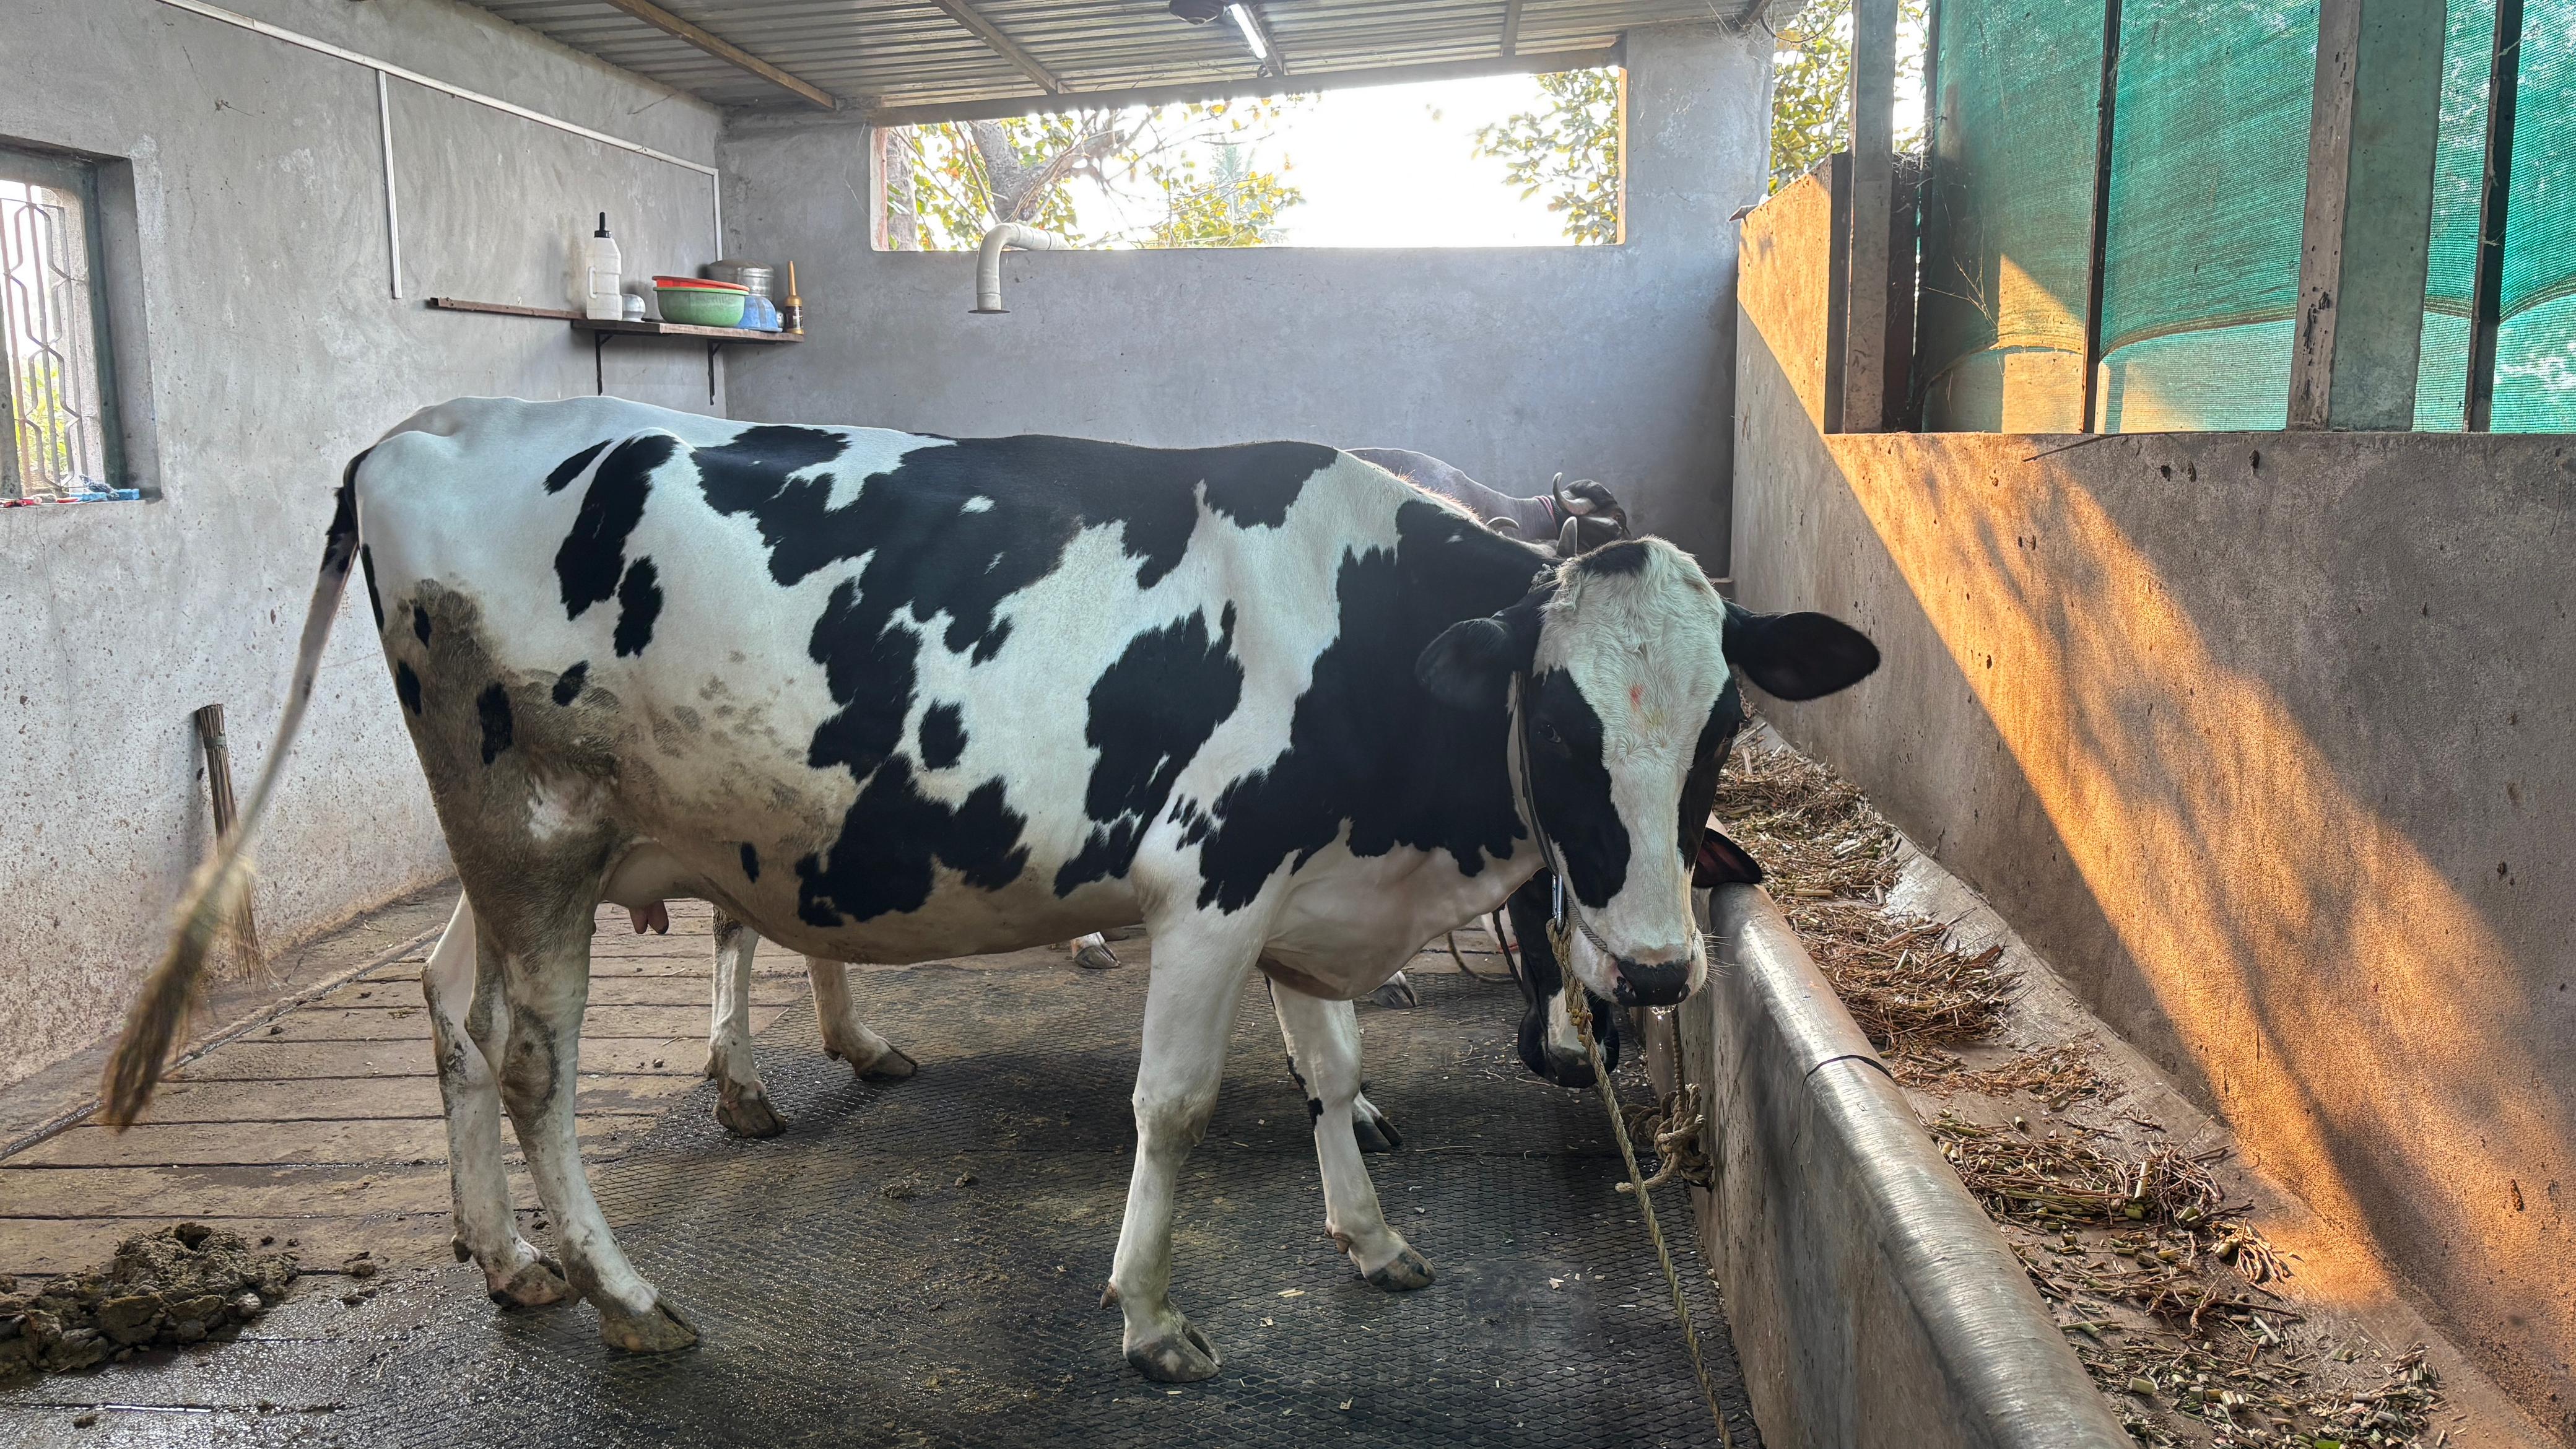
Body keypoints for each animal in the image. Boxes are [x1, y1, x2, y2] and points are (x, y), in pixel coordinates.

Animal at [103, 396, 1877, 1381]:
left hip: (511, 846)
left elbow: (1331, 1067)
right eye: (1564, 729)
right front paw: (1149, 1320)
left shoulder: (1295, 887)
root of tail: (420, 425)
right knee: (536, 1059)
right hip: (533, 833)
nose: (1654, 971)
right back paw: (628, 1297)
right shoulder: (1213, 880)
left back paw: (505, 1255)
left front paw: (1370, 1240)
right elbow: (1178, 1103)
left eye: (1721, 726)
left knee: (450, 1009)